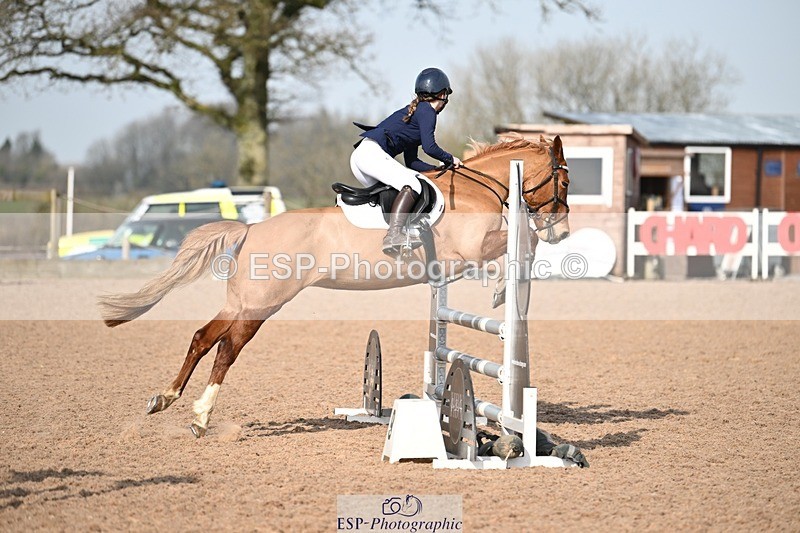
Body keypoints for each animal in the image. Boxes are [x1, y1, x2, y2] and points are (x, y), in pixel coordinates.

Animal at [98, 135, 571, 437]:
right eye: (565, 181)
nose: (562, 232)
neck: (476, 192)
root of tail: (251, 228)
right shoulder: (472, 250)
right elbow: (518, 244)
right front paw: (502, 290)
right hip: (261, 305)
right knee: (227, 349)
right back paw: (200, 417)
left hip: (243, 301)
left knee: (202, 337)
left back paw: (167, 400)